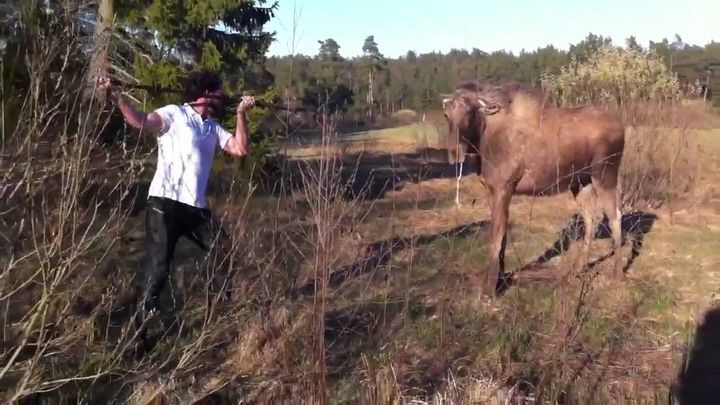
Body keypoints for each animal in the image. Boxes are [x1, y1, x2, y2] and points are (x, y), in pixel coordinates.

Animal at [438, 81, 624, 296]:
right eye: (446, 115)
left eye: (469, 111)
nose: (454, 152)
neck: (483, 144)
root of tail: (622, 127)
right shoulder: (492, 189)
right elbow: (502, 237)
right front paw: (499, 280)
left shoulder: (504, 187)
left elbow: (497, 235)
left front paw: (490, 289)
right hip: (580, 182)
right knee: (590, 220)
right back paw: (575, 271)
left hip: (605, 174)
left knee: (615, 217)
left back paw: (617, 275)